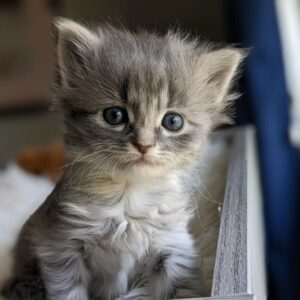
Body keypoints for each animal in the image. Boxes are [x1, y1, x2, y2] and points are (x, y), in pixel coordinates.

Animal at [2, 19, 245, 300]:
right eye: (114, 116)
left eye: (173, 122)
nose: (144, 145)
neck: (129, 199)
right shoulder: (59, 248)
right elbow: (70, 292)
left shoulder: (173, 252)